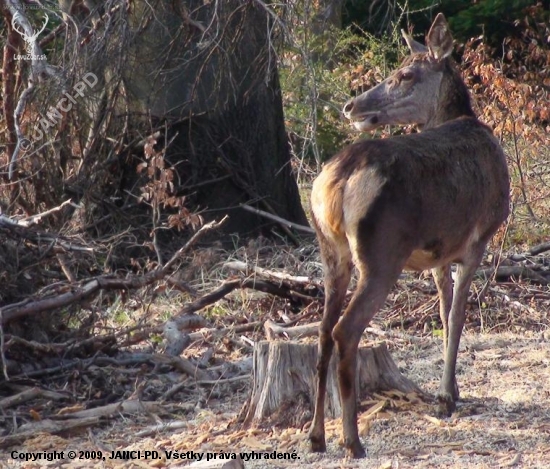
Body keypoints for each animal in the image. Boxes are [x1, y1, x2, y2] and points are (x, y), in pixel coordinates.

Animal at [308, 13, 512, 458]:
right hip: (382, 252)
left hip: (331, 252)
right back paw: (352, 440)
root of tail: (337, 180)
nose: (351, 105)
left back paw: (316, 436)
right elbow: (458, 317)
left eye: (404, 73)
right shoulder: (478, 239)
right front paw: (446, 398)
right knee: (345, 330)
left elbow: (443, 311)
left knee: (322, 332)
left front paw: (452, 389)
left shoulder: (439, 254)